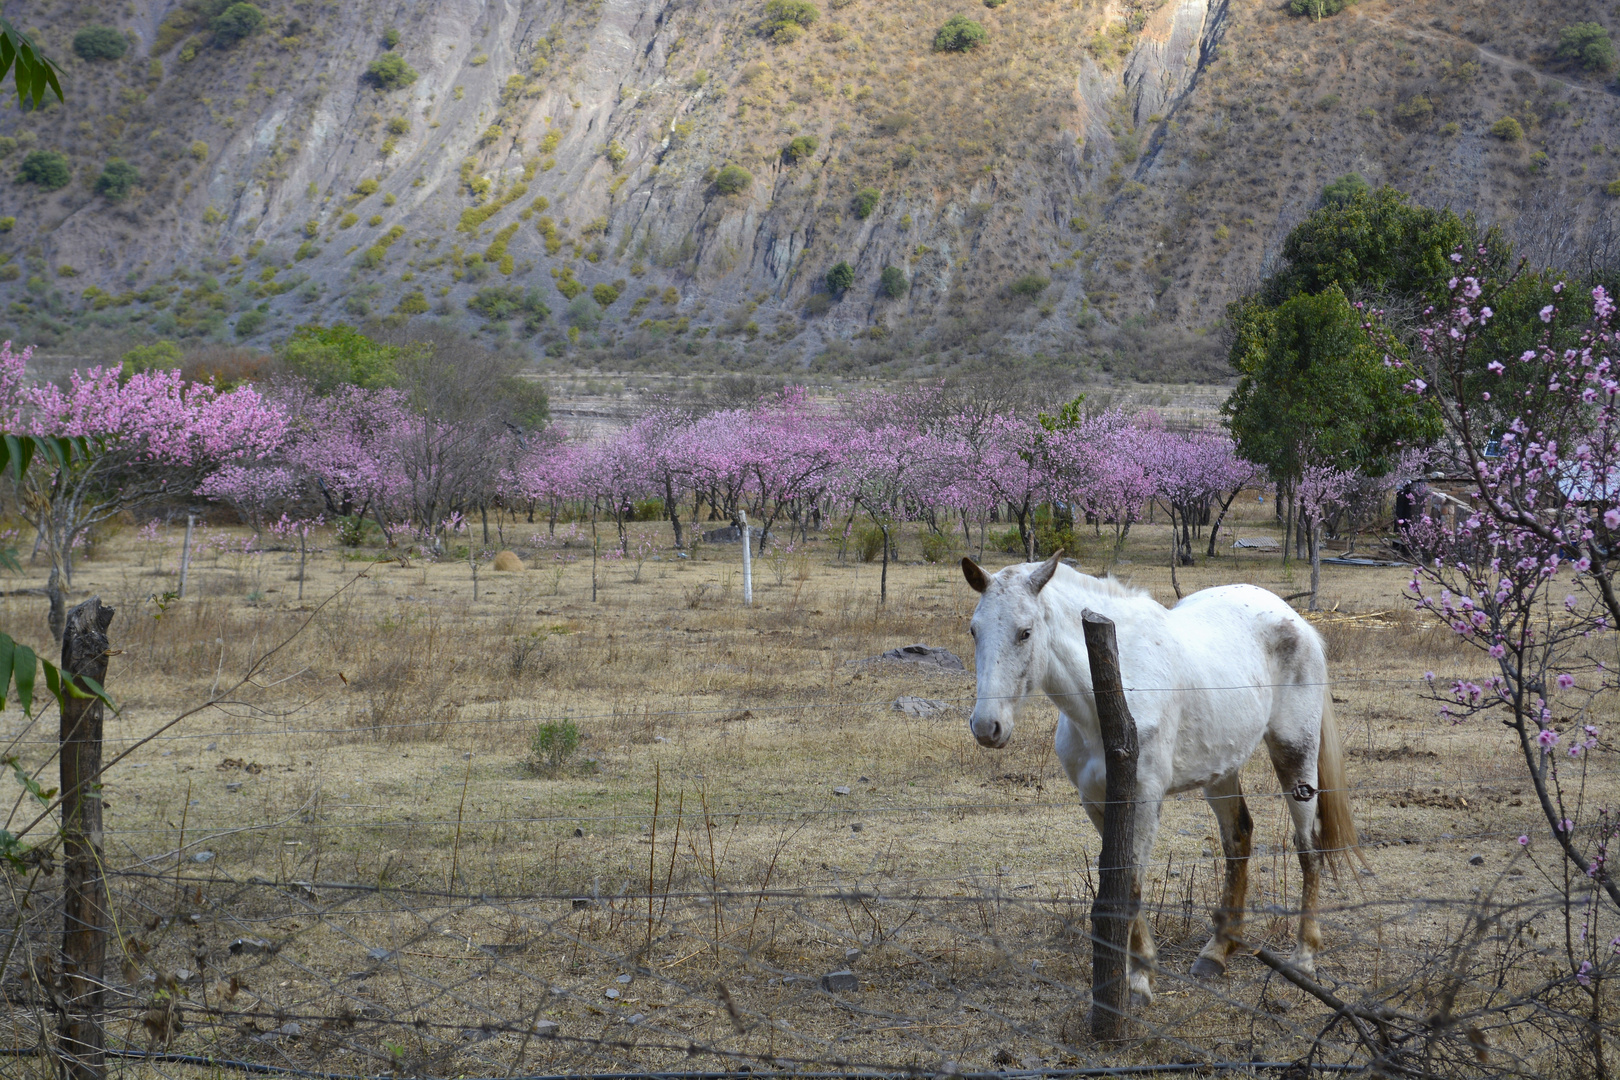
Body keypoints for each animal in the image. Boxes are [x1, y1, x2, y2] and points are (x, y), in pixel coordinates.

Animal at [959, 557, 1367, 1003]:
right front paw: (1131, 974)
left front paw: (1139, 979)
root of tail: (1294, 618)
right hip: (1221, 768)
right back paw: (1217, 952)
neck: (1113, 693)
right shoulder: (1096, 801)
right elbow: (1118, 883)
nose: (986, 727)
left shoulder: (1143, 798)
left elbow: (1132, 886)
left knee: (1308, 846)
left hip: (1295, 755)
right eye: (974, 630)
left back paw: (1304, 957)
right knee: (1239, 838)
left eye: (1025, 632)